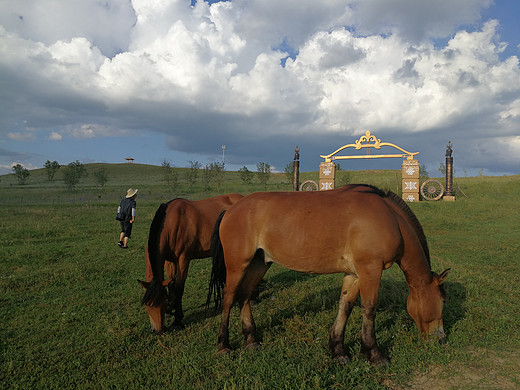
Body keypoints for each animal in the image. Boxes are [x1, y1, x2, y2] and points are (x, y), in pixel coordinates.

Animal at [138, 192, 244, 332]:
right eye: (147, 305)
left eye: (162, 302)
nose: (157, 330)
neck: (171, 223)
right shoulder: (169, 261)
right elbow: (171, 285)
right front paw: (170, 309)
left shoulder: (183, 259)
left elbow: (178, 288)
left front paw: (177, 320)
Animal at [209, 184, 448, 364]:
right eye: (443, 301)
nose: (441, 339)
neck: (391, 219)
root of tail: (231, 209)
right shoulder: (370, 269)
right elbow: (370, 309)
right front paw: (373, 353)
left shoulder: (354, 274)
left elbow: (346, 307)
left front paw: (338, 350)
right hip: (237, 265)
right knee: (229, 298)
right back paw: (223, 345)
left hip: (260, 262)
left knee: (245, 295)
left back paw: (251, 340)